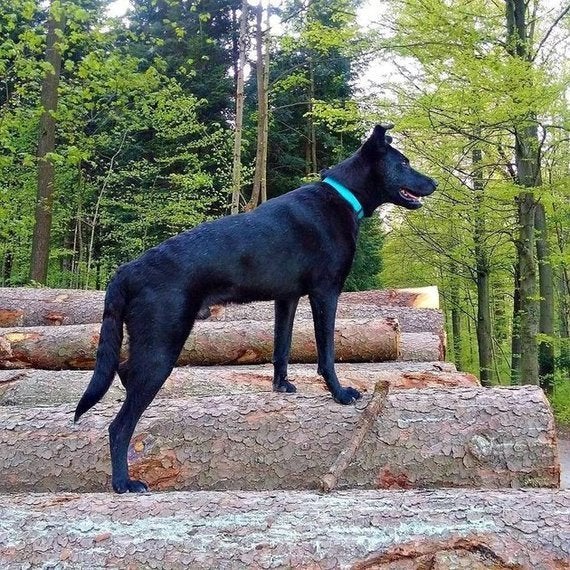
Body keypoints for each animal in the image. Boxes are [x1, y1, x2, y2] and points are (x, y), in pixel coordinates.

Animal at [72, 125, 434, 492]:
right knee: (120, 425)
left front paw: (281, 386)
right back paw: (123, 482)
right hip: (161, 346)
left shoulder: (287, 299)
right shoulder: (325, 293)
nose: (433, 182)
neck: (343, 196)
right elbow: (327, 353)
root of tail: (125, 271)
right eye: (403, 163)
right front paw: (339, 394)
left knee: (124, 374)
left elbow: (281, 347)